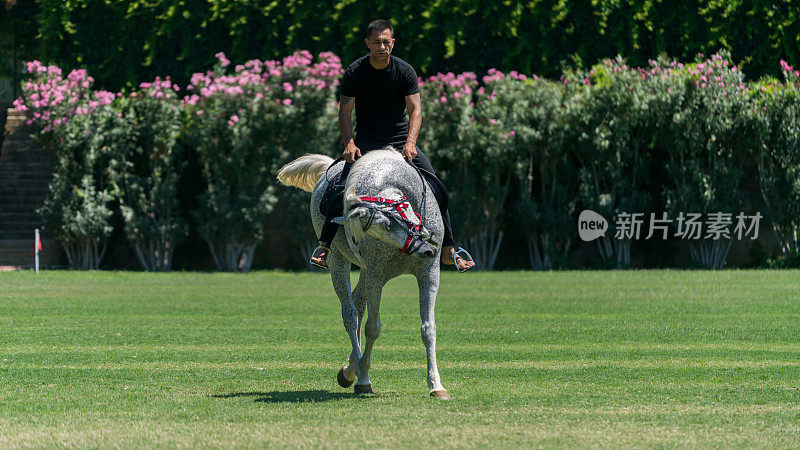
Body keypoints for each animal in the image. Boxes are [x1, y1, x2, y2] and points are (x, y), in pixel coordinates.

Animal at [276, 149, 450, 400]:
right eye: (380, 228)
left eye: (401, 214)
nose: (426, 249)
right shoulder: (376, 276)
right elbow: (373, 327)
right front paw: (364, 378)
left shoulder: (429, 273)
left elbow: (428, 328)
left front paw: (436, 385)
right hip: (340, 263)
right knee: (350, 314)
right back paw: (356, 372)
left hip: (366, 272)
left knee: (358, 305)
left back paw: (351, 368)